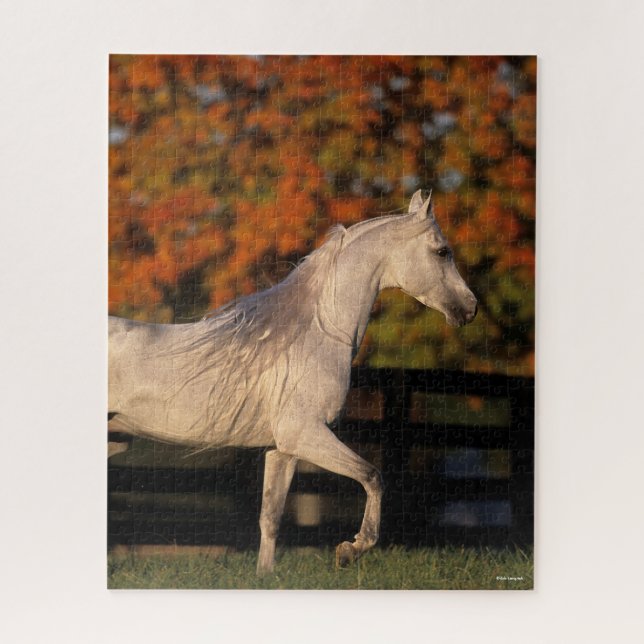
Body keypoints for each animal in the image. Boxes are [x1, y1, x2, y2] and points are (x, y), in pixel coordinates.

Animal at [108, 190, 478, 574]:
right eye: (442, 251)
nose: (470, 308)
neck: (315, 336)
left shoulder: (283, 450)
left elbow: (270, 517)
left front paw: (265, 575)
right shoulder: (307, 435)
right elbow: (373, 476)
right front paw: (351, 549)